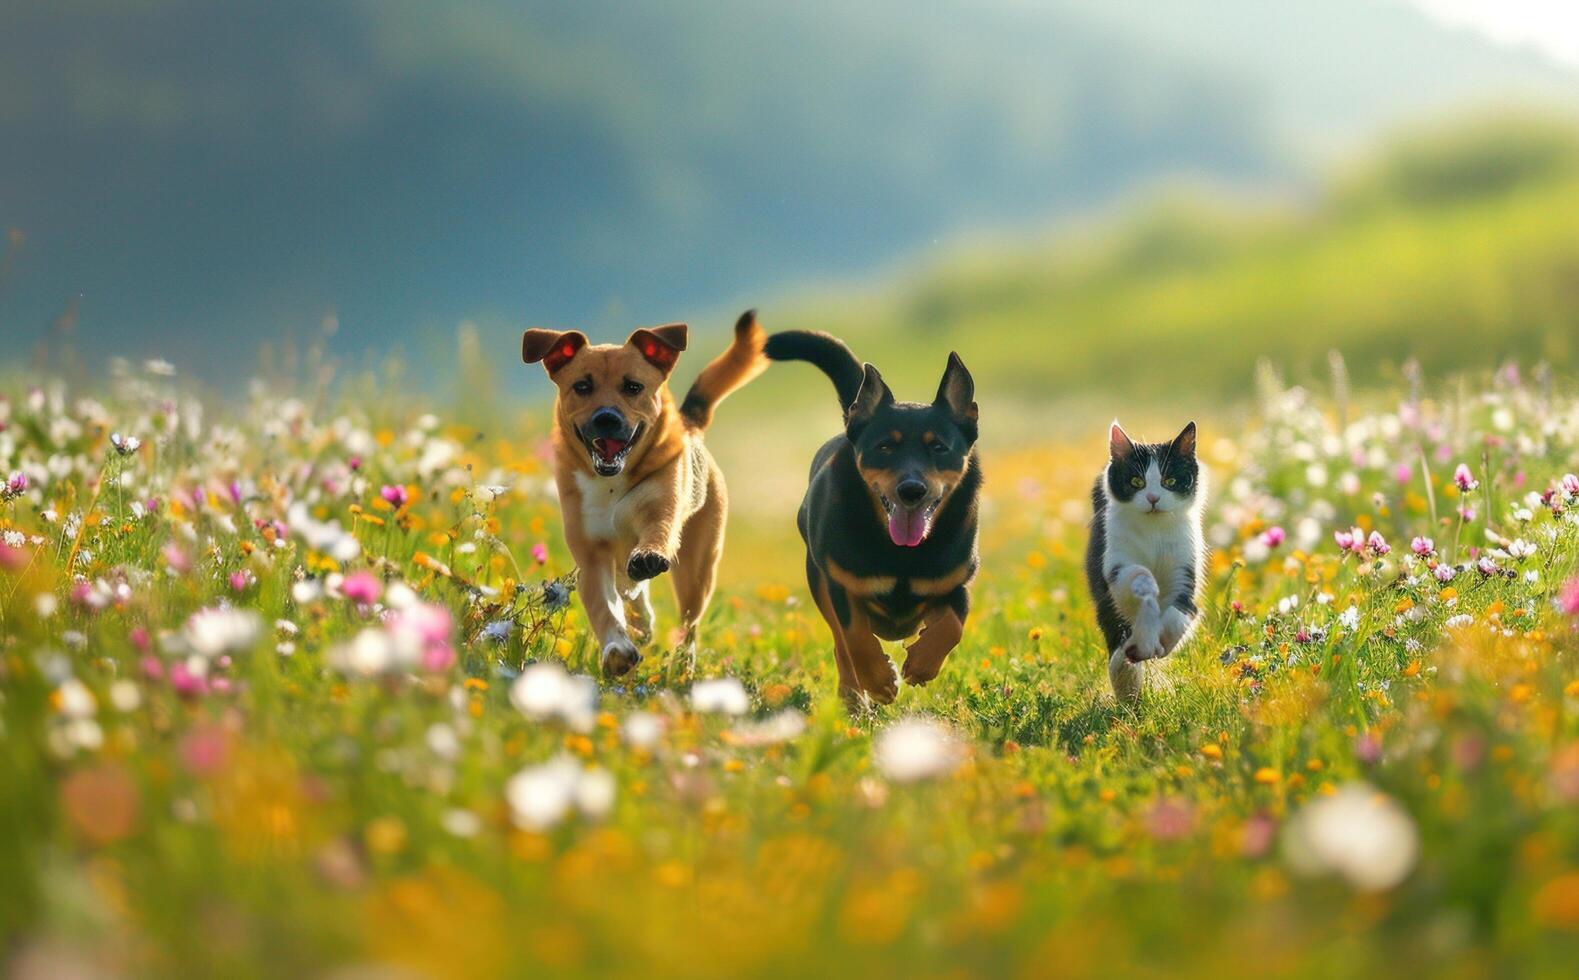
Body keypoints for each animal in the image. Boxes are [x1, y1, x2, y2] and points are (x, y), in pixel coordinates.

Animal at [521, 309, 767, 675]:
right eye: (582, 386)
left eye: (633, 387)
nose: (606, 419)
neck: (610, 482)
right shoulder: (590, 551)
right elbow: (603, 607)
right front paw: (617, 649)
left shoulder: (661, 508)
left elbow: (656, 534)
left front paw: (647, 557)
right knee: (630, 593)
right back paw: (640, 625)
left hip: (698, 564)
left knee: (688, 621)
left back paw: (682, 665)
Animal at [761, 332, 972, 706]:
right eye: (885, 446)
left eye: (939, 447)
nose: (912, 490)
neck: (901, 553)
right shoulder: (841, 584)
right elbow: (854, 635)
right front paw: (880, 681)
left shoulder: (956, 582)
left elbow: (953, 625)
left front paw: (922, 663)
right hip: (817, 578)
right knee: (841, 646)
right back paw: (854, 697)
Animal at [1086, 419, 1206, 703]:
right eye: (1136, 481)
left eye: (1169, 480)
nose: (1153, 498)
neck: (1155, 530)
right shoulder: (1114, 561)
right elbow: (1132, 577)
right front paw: (1146, 589)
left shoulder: (1185, 566)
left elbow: (1182, 610)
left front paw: (1162, 640)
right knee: (1120, 659)